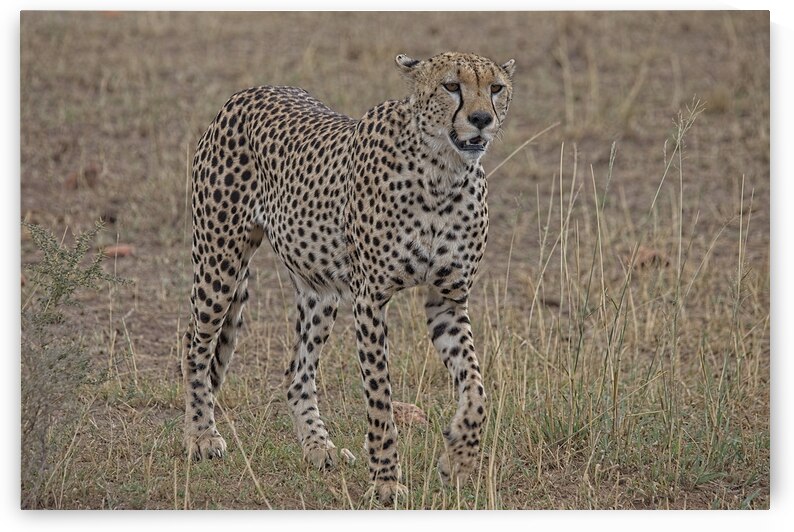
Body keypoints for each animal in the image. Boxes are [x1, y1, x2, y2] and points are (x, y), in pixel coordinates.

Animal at [181, 51, 516, 503]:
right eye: (451, 86)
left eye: (496, 88)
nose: (481, 119)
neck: (443, 173)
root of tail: (249, 91)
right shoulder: (370, 298)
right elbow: (379, 398)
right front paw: (386, 480)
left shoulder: (446, 299)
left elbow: (477, 388)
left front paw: (459, 458)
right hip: (219, 262)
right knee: (196, 347)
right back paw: (201, 435)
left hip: (318, 289)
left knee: (297, 372)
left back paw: (318, 446)